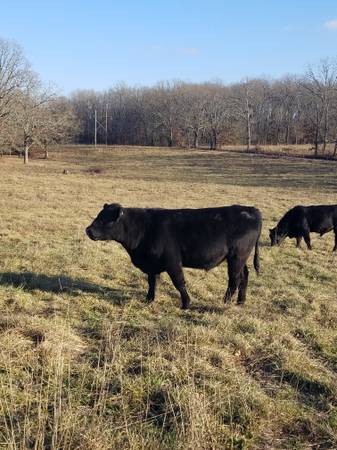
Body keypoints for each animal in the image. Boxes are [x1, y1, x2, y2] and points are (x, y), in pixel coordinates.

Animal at [85, 204, 262, 310]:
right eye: (99, 215)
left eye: (106, 220)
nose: (88, 230)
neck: (144, 228)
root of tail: (251, 209)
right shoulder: (152, 264)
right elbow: (152, 282)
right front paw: (149, 299)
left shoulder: (173, 262)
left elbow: (179, 283)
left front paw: (186, 304)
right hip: (240, 258)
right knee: (244, 275)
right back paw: (240, 301)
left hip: (236, 257)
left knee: (234, 279)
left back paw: (225, 302)